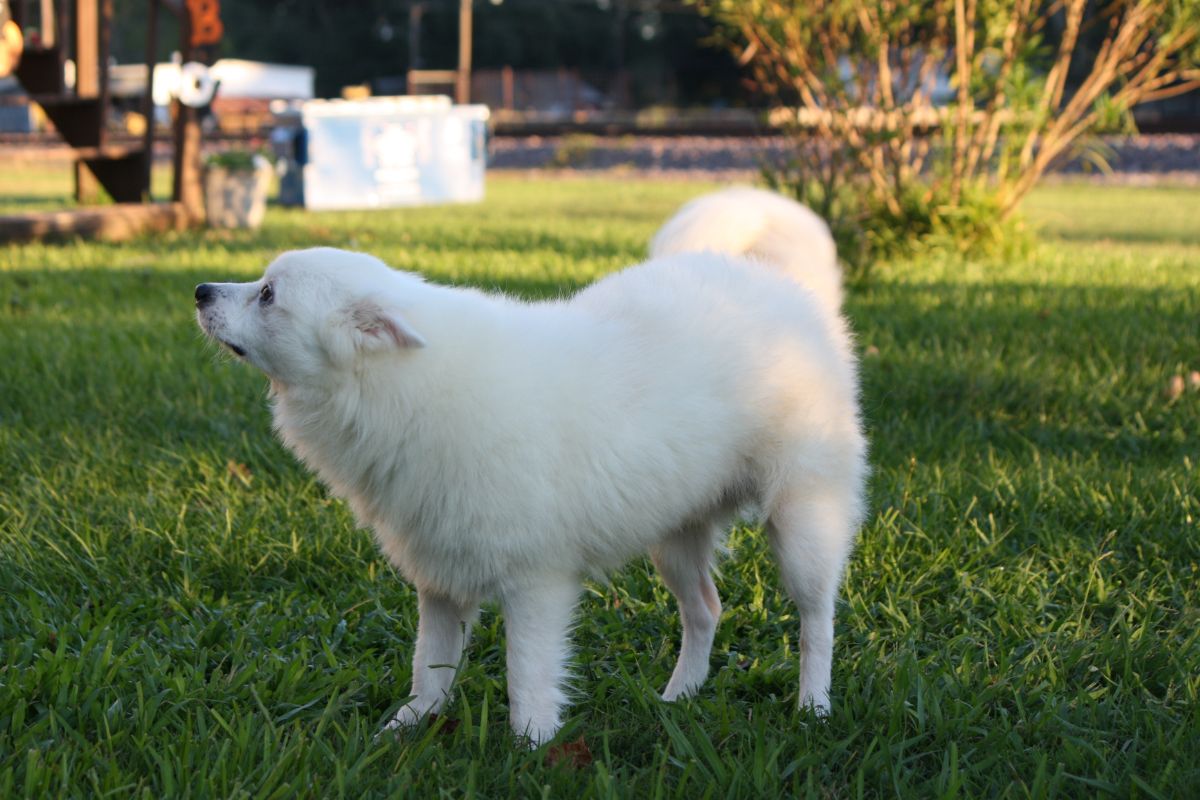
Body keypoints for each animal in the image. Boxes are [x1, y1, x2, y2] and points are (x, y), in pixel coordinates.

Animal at [199, 191, 873, 743]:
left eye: (267, 294)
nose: (202, 291)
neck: (402, 384)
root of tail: (783, 287)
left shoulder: (536, 584)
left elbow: (527, 676)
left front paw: (531, 751)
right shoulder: (440, 579)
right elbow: (430, 668)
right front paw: (405, 729)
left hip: (802, 518)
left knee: (817, 619)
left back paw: (813, 707)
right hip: (675, 534)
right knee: (706, 608)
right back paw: (678, 697)